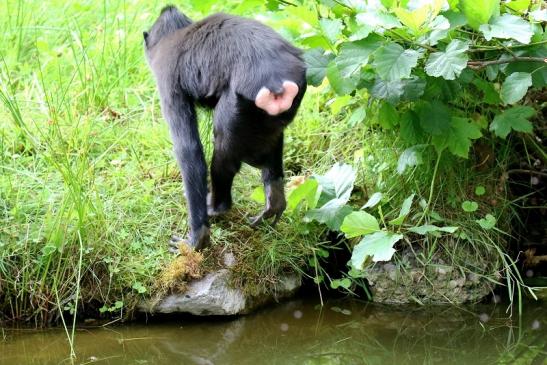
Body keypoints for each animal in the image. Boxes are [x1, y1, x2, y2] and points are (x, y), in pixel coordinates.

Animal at [144, 5, 308, 250]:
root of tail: (275, 82)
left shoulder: (167, 79)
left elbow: (189, 150)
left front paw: (197, 239)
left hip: (236, 111)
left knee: (224, 151)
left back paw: (217, 207)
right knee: (272, 137)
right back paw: (275, 197)